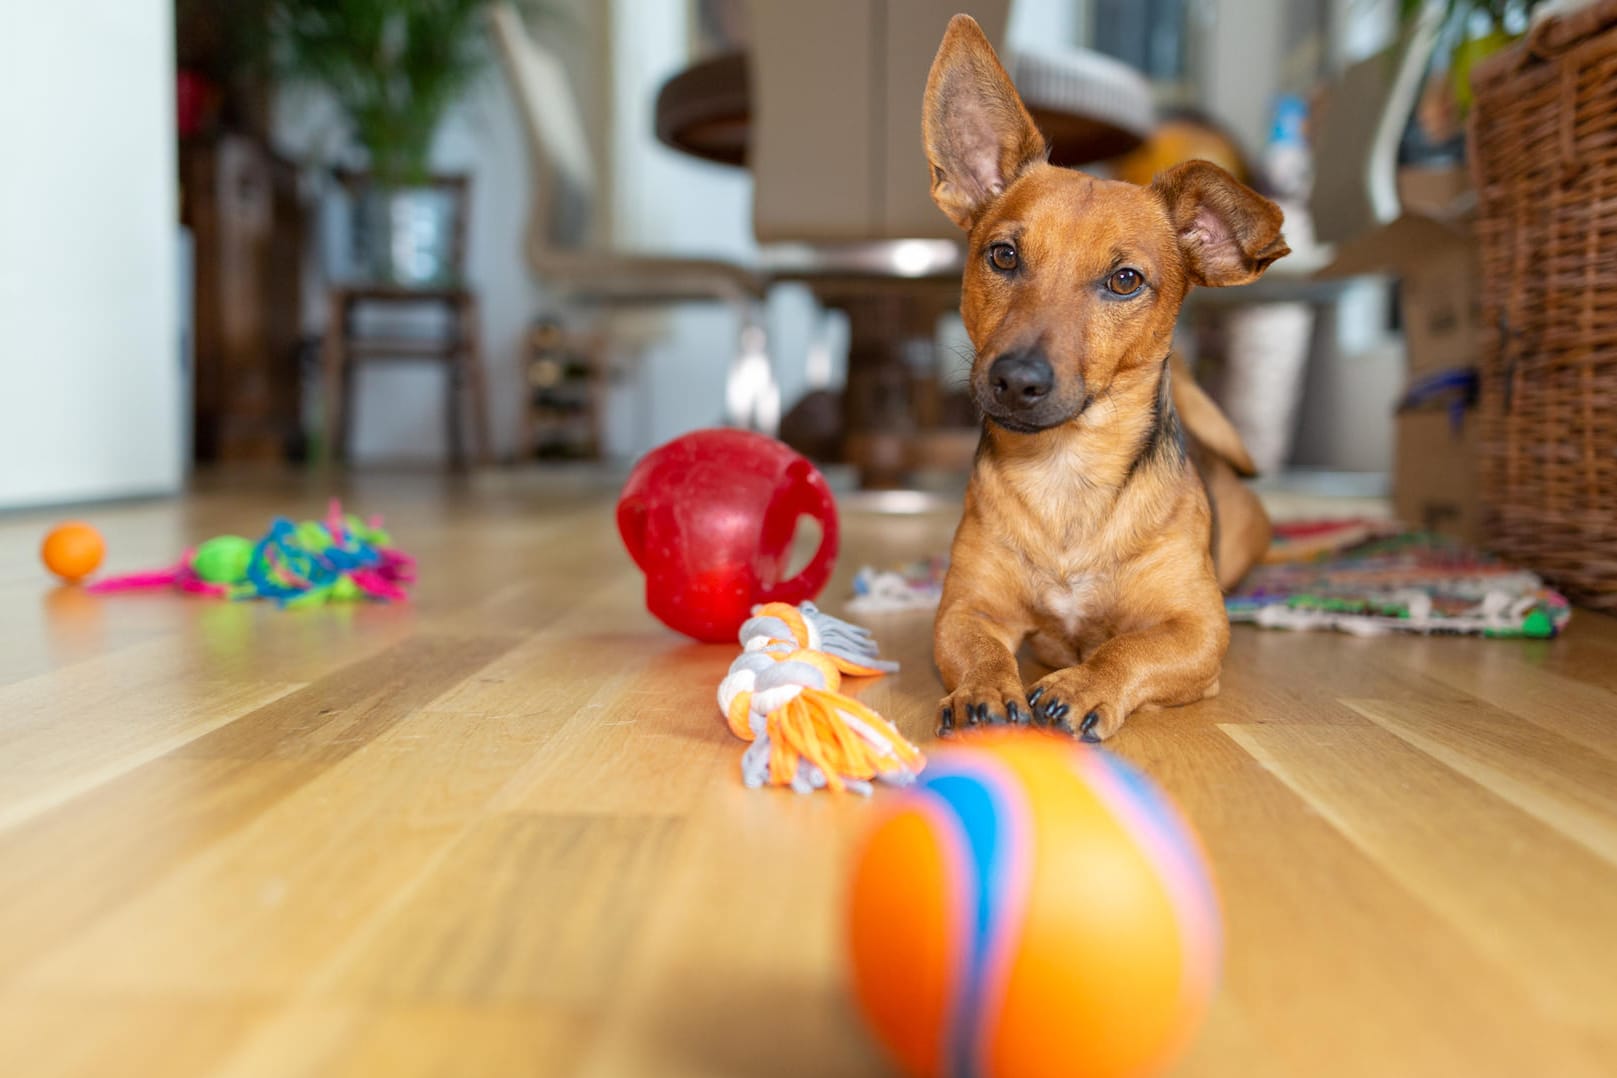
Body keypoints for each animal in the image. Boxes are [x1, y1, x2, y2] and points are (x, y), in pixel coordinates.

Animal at [924, 16, 1287, 743]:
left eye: (1125, 280)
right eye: (1002, 255)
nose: (1015, 380)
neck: (1067, 474)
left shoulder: (1197, 629)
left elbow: (1128, 648)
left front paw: (1085, 684)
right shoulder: (965, 608)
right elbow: (979, 650)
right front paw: (984, 690)